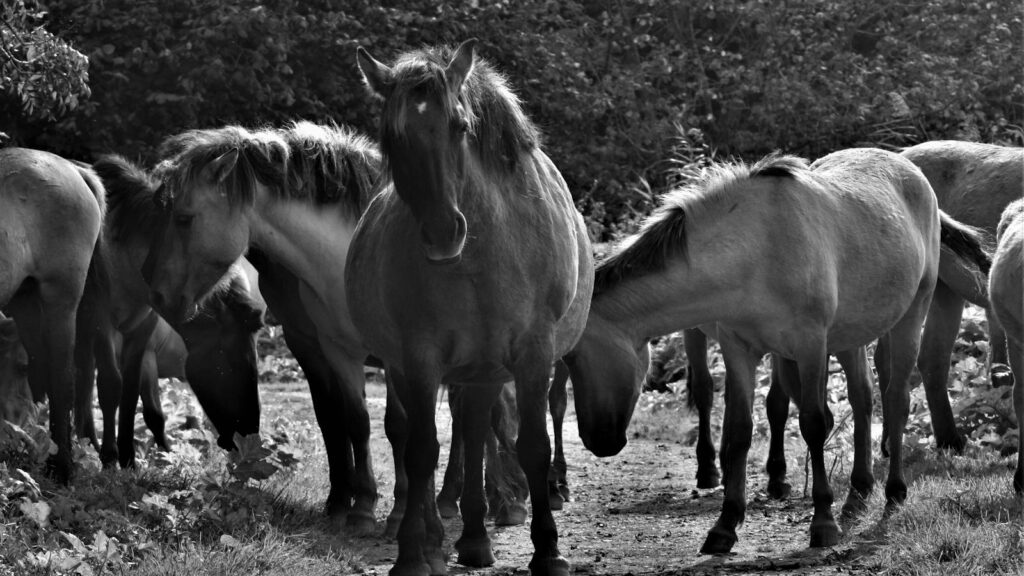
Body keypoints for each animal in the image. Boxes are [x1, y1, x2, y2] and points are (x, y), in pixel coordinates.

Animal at [0, 147, 105, 483]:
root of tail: (72, 168)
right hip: (26, 302)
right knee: (45, 372)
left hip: (61, 300)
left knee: (63, 379)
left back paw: (62, 468)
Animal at [352, 40, 593, 576]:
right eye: (392, 138)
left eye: (459, 126)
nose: (443, 232)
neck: (481, 256)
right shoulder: (418, 357)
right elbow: (422, 449)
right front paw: (413, 553)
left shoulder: (533, 352)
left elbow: (532, 444)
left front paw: (548, 550)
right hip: (420, 368)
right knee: (428, 437)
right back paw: (441, 538)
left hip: (484, 369)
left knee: (477, 431)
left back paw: (476, 538)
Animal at [564, 149, 991, 554]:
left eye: (573, 356)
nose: (598, 441)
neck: (754, 248)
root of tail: (913, 172)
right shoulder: (739, 349)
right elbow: (739, 431)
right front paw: (725, 525)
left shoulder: (810, 344)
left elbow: (815, 424)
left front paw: (822, 522)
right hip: (851, 335)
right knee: (864, 399)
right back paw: (857, 492)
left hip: (910, 317)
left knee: (897, 400)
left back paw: (894, 492)